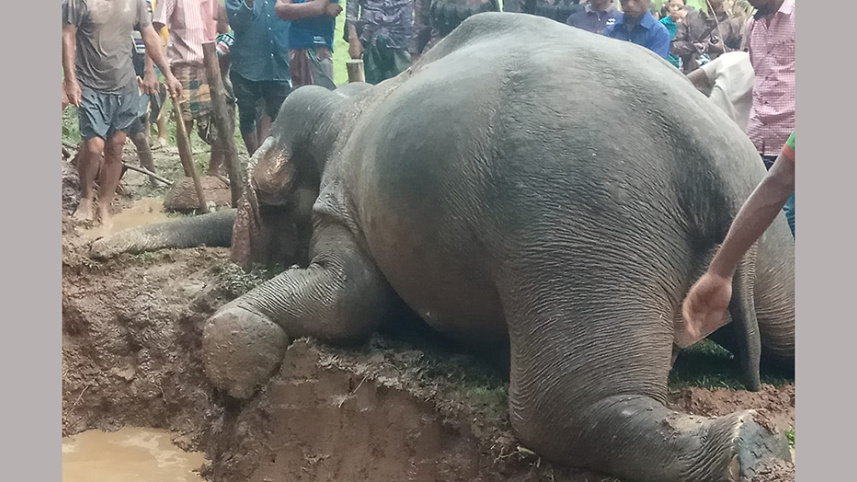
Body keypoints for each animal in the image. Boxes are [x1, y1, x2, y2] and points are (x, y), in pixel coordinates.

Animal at [91, 12, 795, 482]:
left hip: (583, 224)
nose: (96, 251)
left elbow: (353, 299)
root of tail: (713, 155)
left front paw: (236, 372)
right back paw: (752, 439)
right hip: (755, 233)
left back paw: (743, 447)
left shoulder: (346, 204)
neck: (351, 101)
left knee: (552, 411)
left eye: (269, 208)